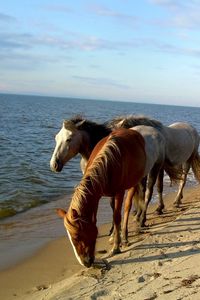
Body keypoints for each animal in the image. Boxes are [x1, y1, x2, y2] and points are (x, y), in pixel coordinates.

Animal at [56, 128, 145, 268]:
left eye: (77, 236)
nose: (85, 262)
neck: (108, 164)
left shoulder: (119, 192)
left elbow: (117, 217)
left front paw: (116, 247)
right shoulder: (95, 197)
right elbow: (97, 220)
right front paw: (114, 238)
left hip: (133, 184)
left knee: (127, 207)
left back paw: (124, 236)